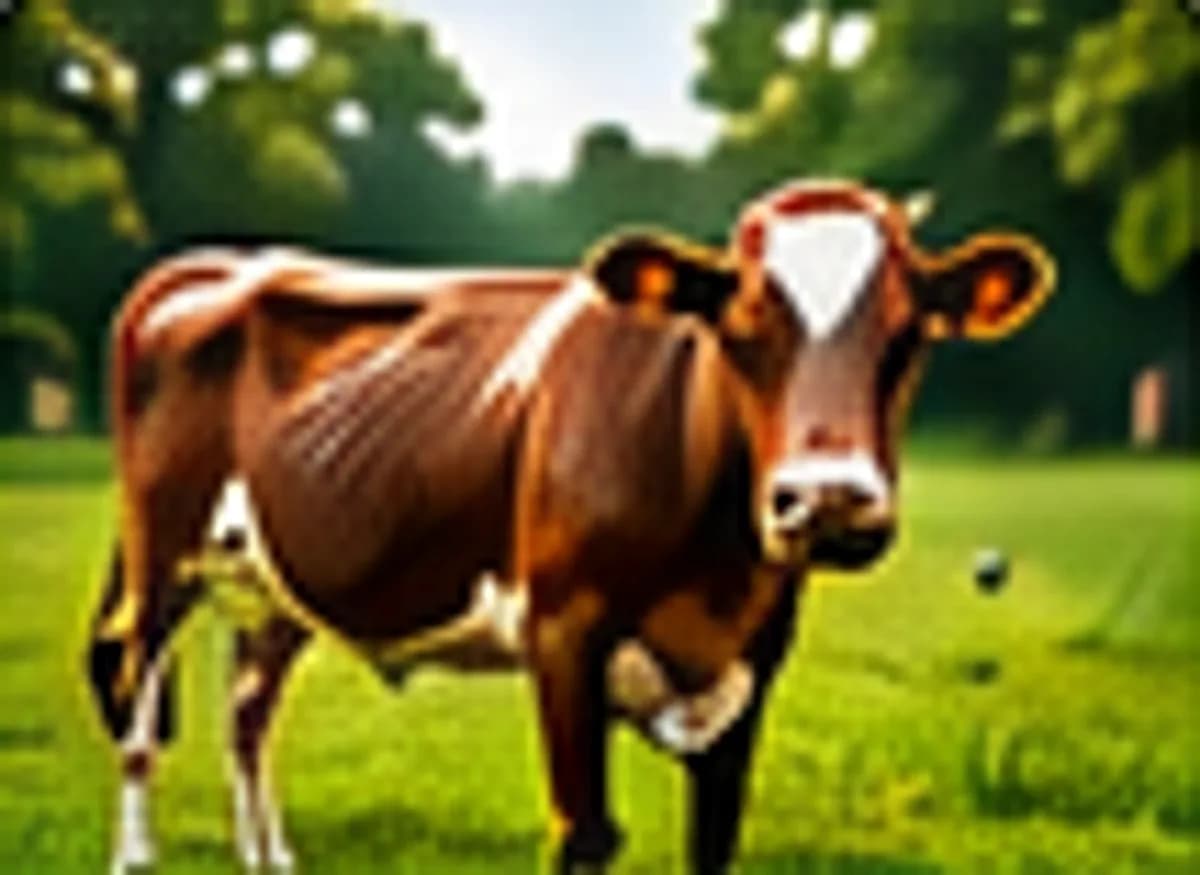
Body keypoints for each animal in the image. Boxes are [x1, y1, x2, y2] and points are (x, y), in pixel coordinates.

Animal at [86, 180, 1053, 874]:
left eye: (911, 335)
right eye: (738, 327)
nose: (830, 501)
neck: (713, 576)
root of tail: (219, 262)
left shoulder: (754, 659)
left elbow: (713, 840)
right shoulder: (562, 631)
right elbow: (585, 834)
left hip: (278, 582)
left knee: (248, 714)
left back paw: (272, 857)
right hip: (163, 555)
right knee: (136, 702)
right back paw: (135, 855)